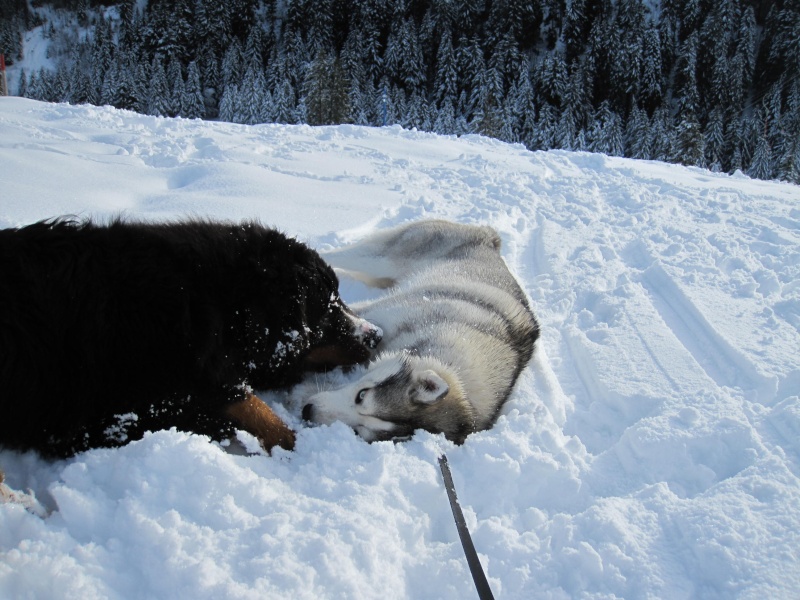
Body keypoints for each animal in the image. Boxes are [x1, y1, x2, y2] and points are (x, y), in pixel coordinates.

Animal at [304, 221, 540, 446]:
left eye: (358, 431)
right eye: (361, 396)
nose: (307, 411)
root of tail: (490, 240)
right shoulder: (373, 316)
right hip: (378, 257)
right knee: (333, 254)